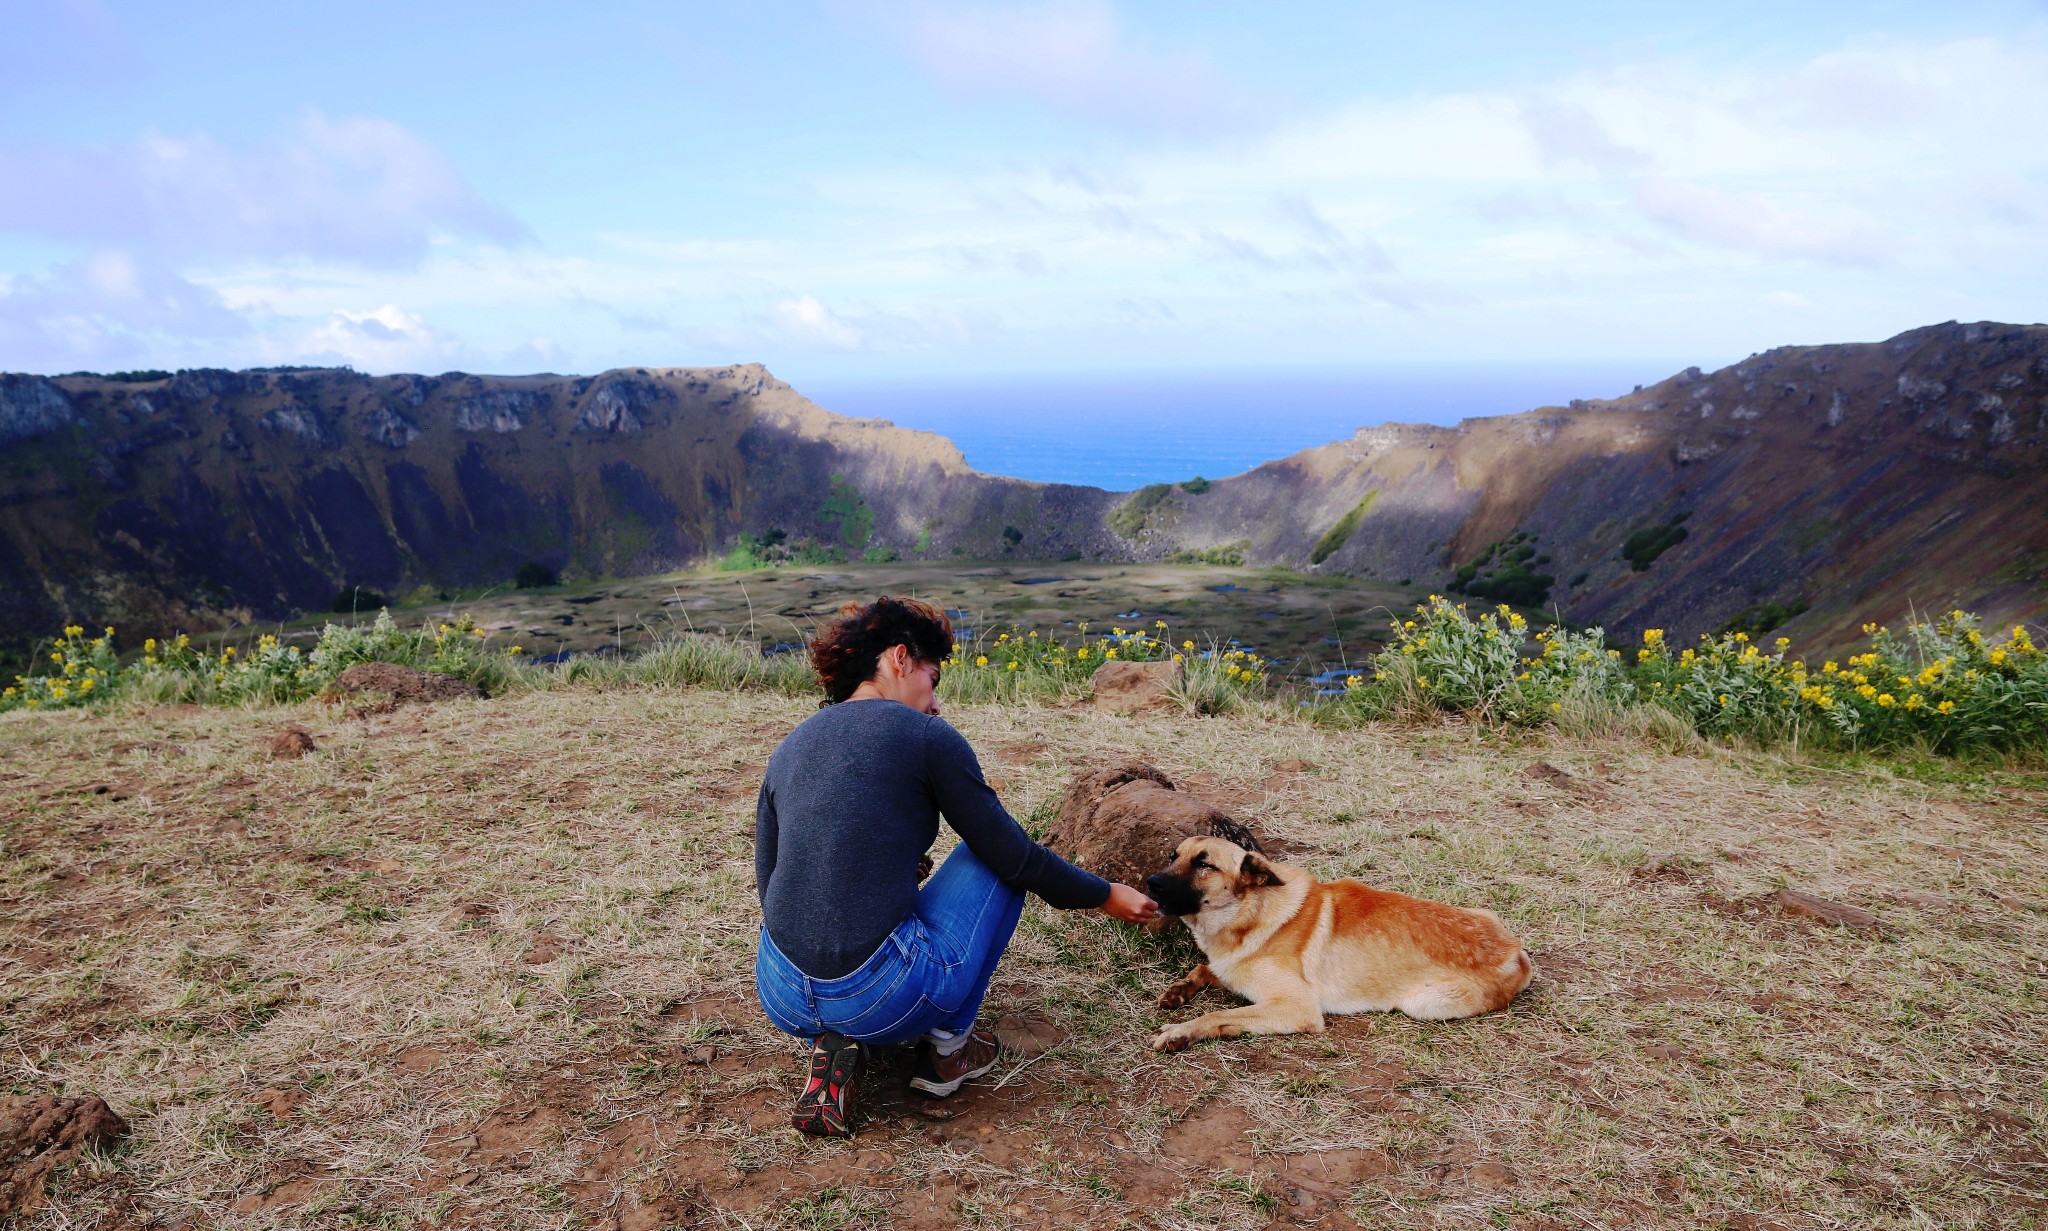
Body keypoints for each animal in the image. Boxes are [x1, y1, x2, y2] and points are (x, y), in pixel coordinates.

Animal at [1146, 835, 1531, 1044]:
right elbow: (1206, 968)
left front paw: (1181, 1032)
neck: (1251, 911)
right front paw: (1180, 989)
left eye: (1204, 864)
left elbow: (1218, 1015)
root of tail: (1516, 954)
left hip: (1420, 1004)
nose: (1151, 882)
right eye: (1173, 856)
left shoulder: (1295, 1008)